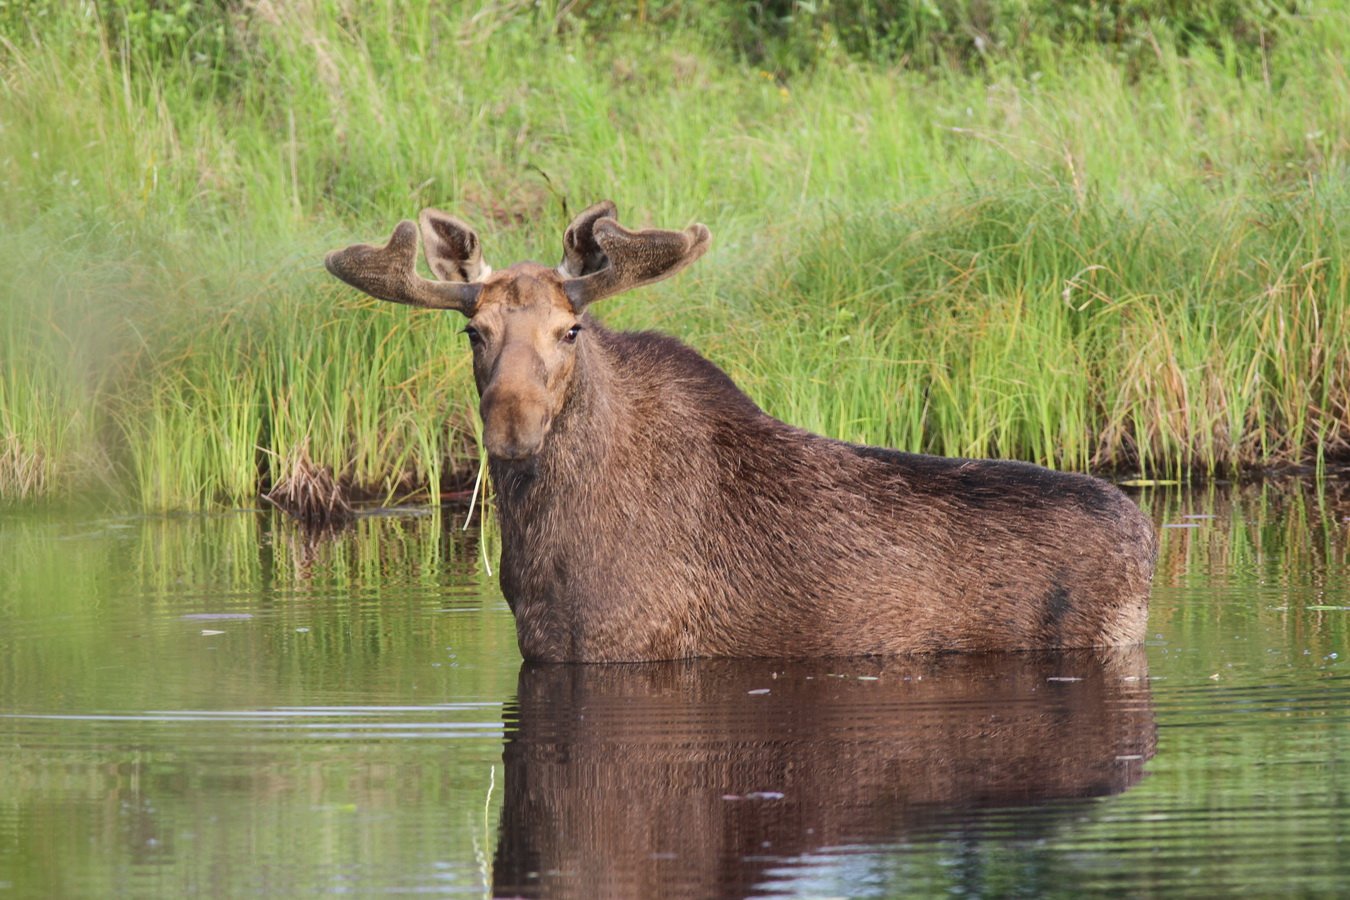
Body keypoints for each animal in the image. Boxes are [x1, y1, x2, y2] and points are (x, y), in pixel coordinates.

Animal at [321, 201, 1155, 661]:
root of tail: (1146, 535)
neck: (541, 543)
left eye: (570, 329)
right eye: (474, 332)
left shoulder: (620, 643)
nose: (512, 426)